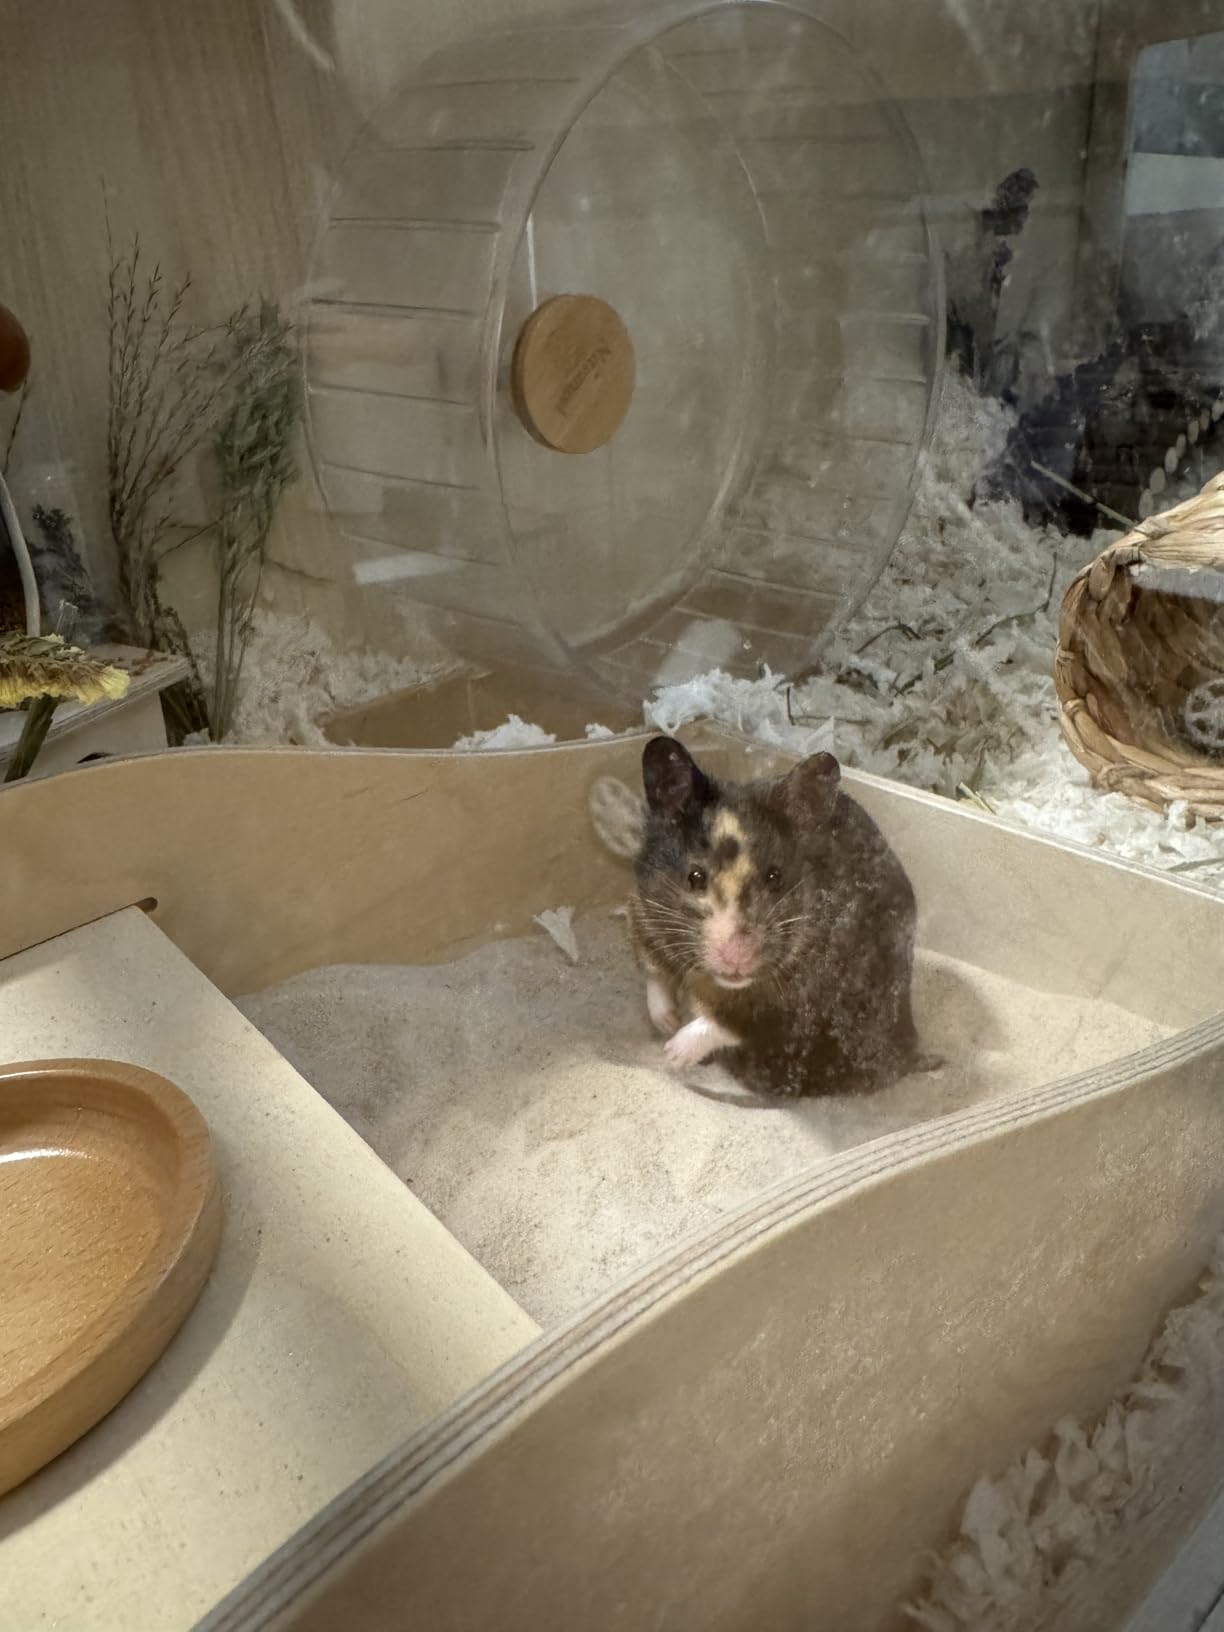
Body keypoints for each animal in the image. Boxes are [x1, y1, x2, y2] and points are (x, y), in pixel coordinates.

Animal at [615, 736, 923, 1098]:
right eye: (695, 877)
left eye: (776, 878)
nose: (737, 959)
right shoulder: (644, 916)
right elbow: (655, 977)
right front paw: (667, 1023)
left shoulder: (788, 1010)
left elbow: (724, 1024)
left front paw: (673, 1053)